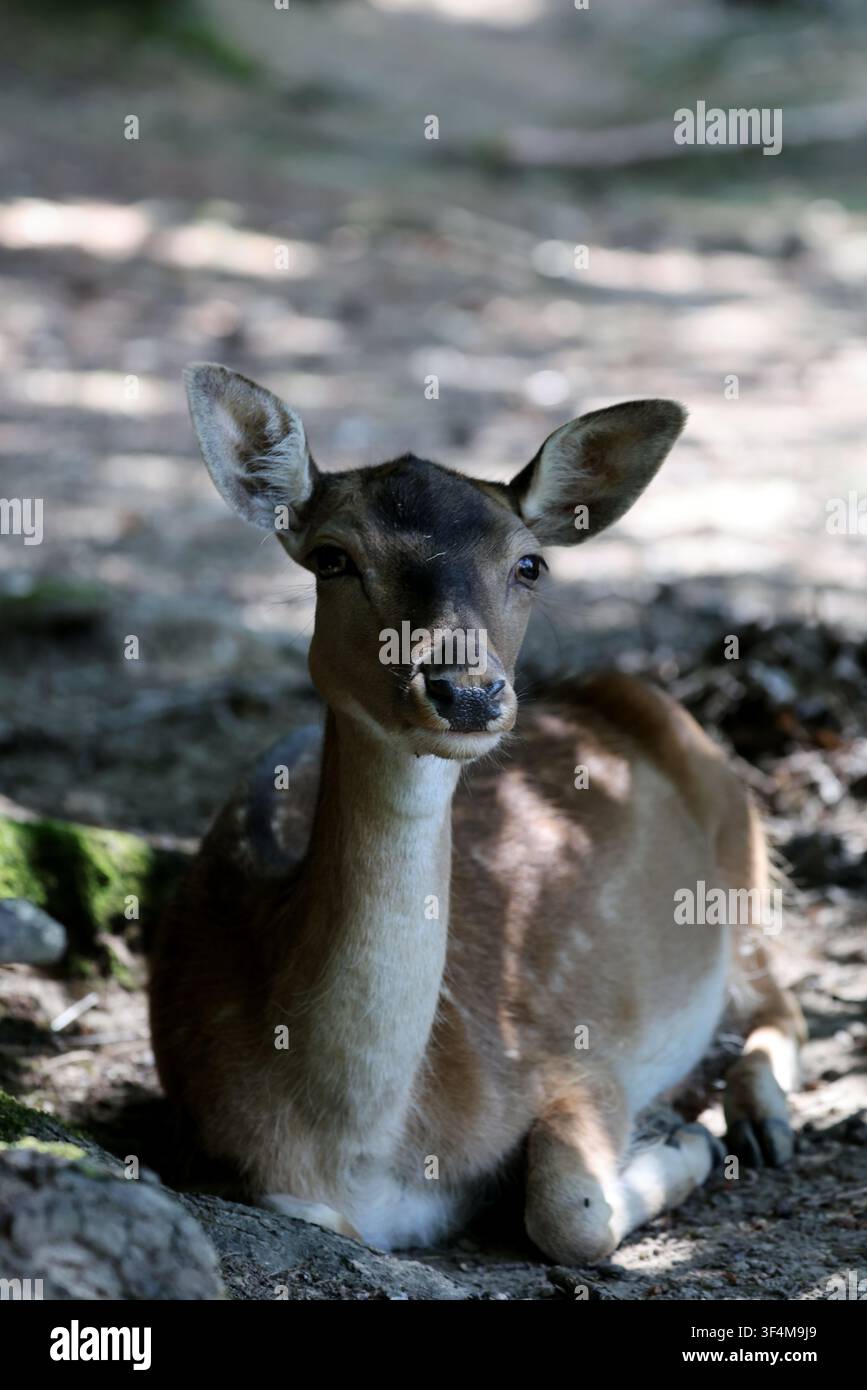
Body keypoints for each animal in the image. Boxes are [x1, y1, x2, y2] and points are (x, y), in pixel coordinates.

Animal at [148, 364, 806, 1264]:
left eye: (529, 564)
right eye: (332, 557)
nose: (465, 690)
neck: (358, 1148)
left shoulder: (570, 1057)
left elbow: (570, 1211)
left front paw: (684, 1140)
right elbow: (301, 1210)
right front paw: (682, 1135)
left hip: (741, 859)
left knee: (781, 995)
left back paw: (754, 1119)